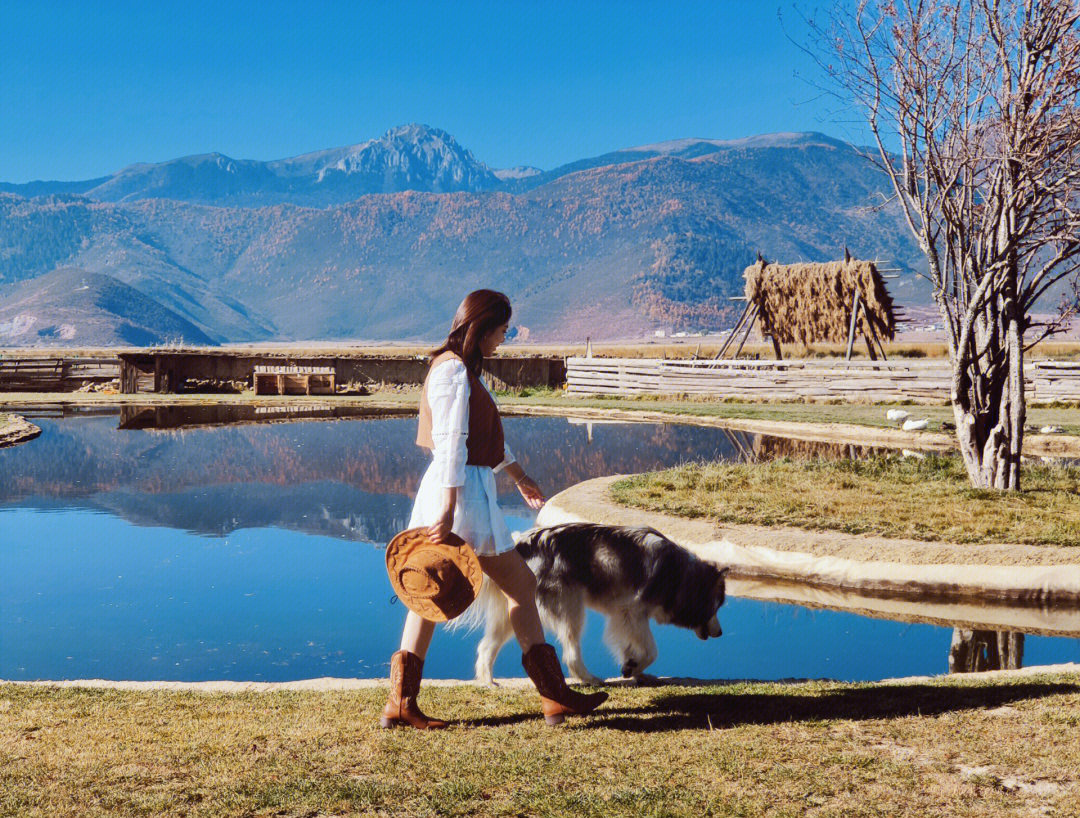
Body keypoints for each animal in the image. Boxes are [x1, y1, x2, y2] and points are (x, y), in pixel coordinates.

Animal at [462, 523, 725, 682]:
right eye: (717, 606)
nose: (721, 633)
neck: (678, 574)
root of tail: (522, 542)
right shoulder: (631, 612)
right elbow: (651, 650)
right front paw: (634, 667)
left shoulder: (626, 618)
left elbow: (634, 647)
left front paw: (633, 668)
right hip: (571, 611)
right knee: (571, 654)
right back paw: (588, 679)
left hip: (516, 612)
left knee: (485, 647)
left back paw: (488, 682)